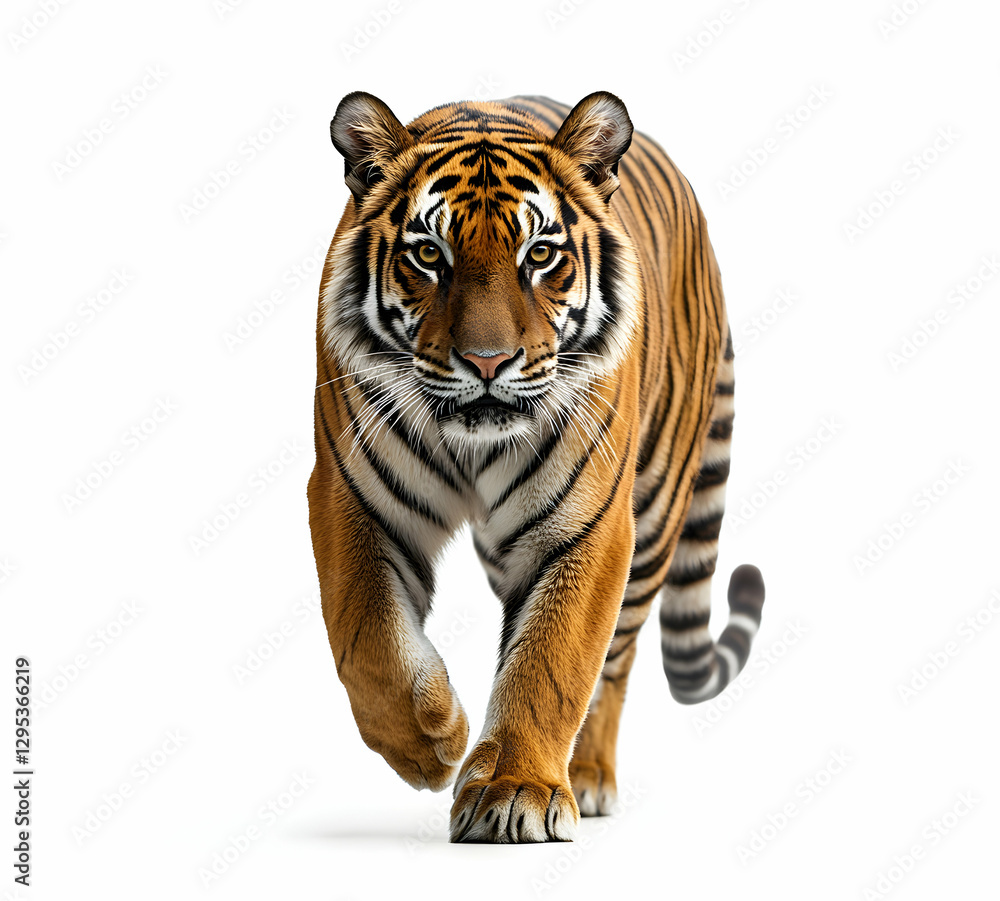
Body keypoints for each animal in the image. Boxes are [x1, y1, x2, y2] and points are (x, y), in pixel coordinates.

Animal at [307, 90, 766, 844]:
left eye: (541, 254)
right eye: (428, 254)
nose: (488, 362)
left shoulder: (587, 526)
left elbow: (552, 659)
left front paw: (518, 788)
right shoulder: (352, 496)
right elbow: (366, 635)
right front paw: (431, 739)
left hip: (655, 512)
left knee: (614, 660)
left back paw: (586, 774)